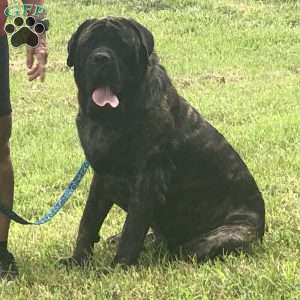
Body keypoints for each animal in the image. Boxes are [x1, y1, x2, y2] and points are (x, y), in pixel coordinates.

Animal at [61, 17, 264, 268]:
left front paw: (119, 267)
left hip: (222, 235)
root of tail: (262, 227)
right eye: (89, 43)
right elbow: (88, 221)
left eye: (121, 45)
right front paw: (77, 260)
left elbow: (132, 229)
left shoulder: (147, 181)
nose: (101, 58)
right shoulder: (101, 177)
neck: (110, 119)